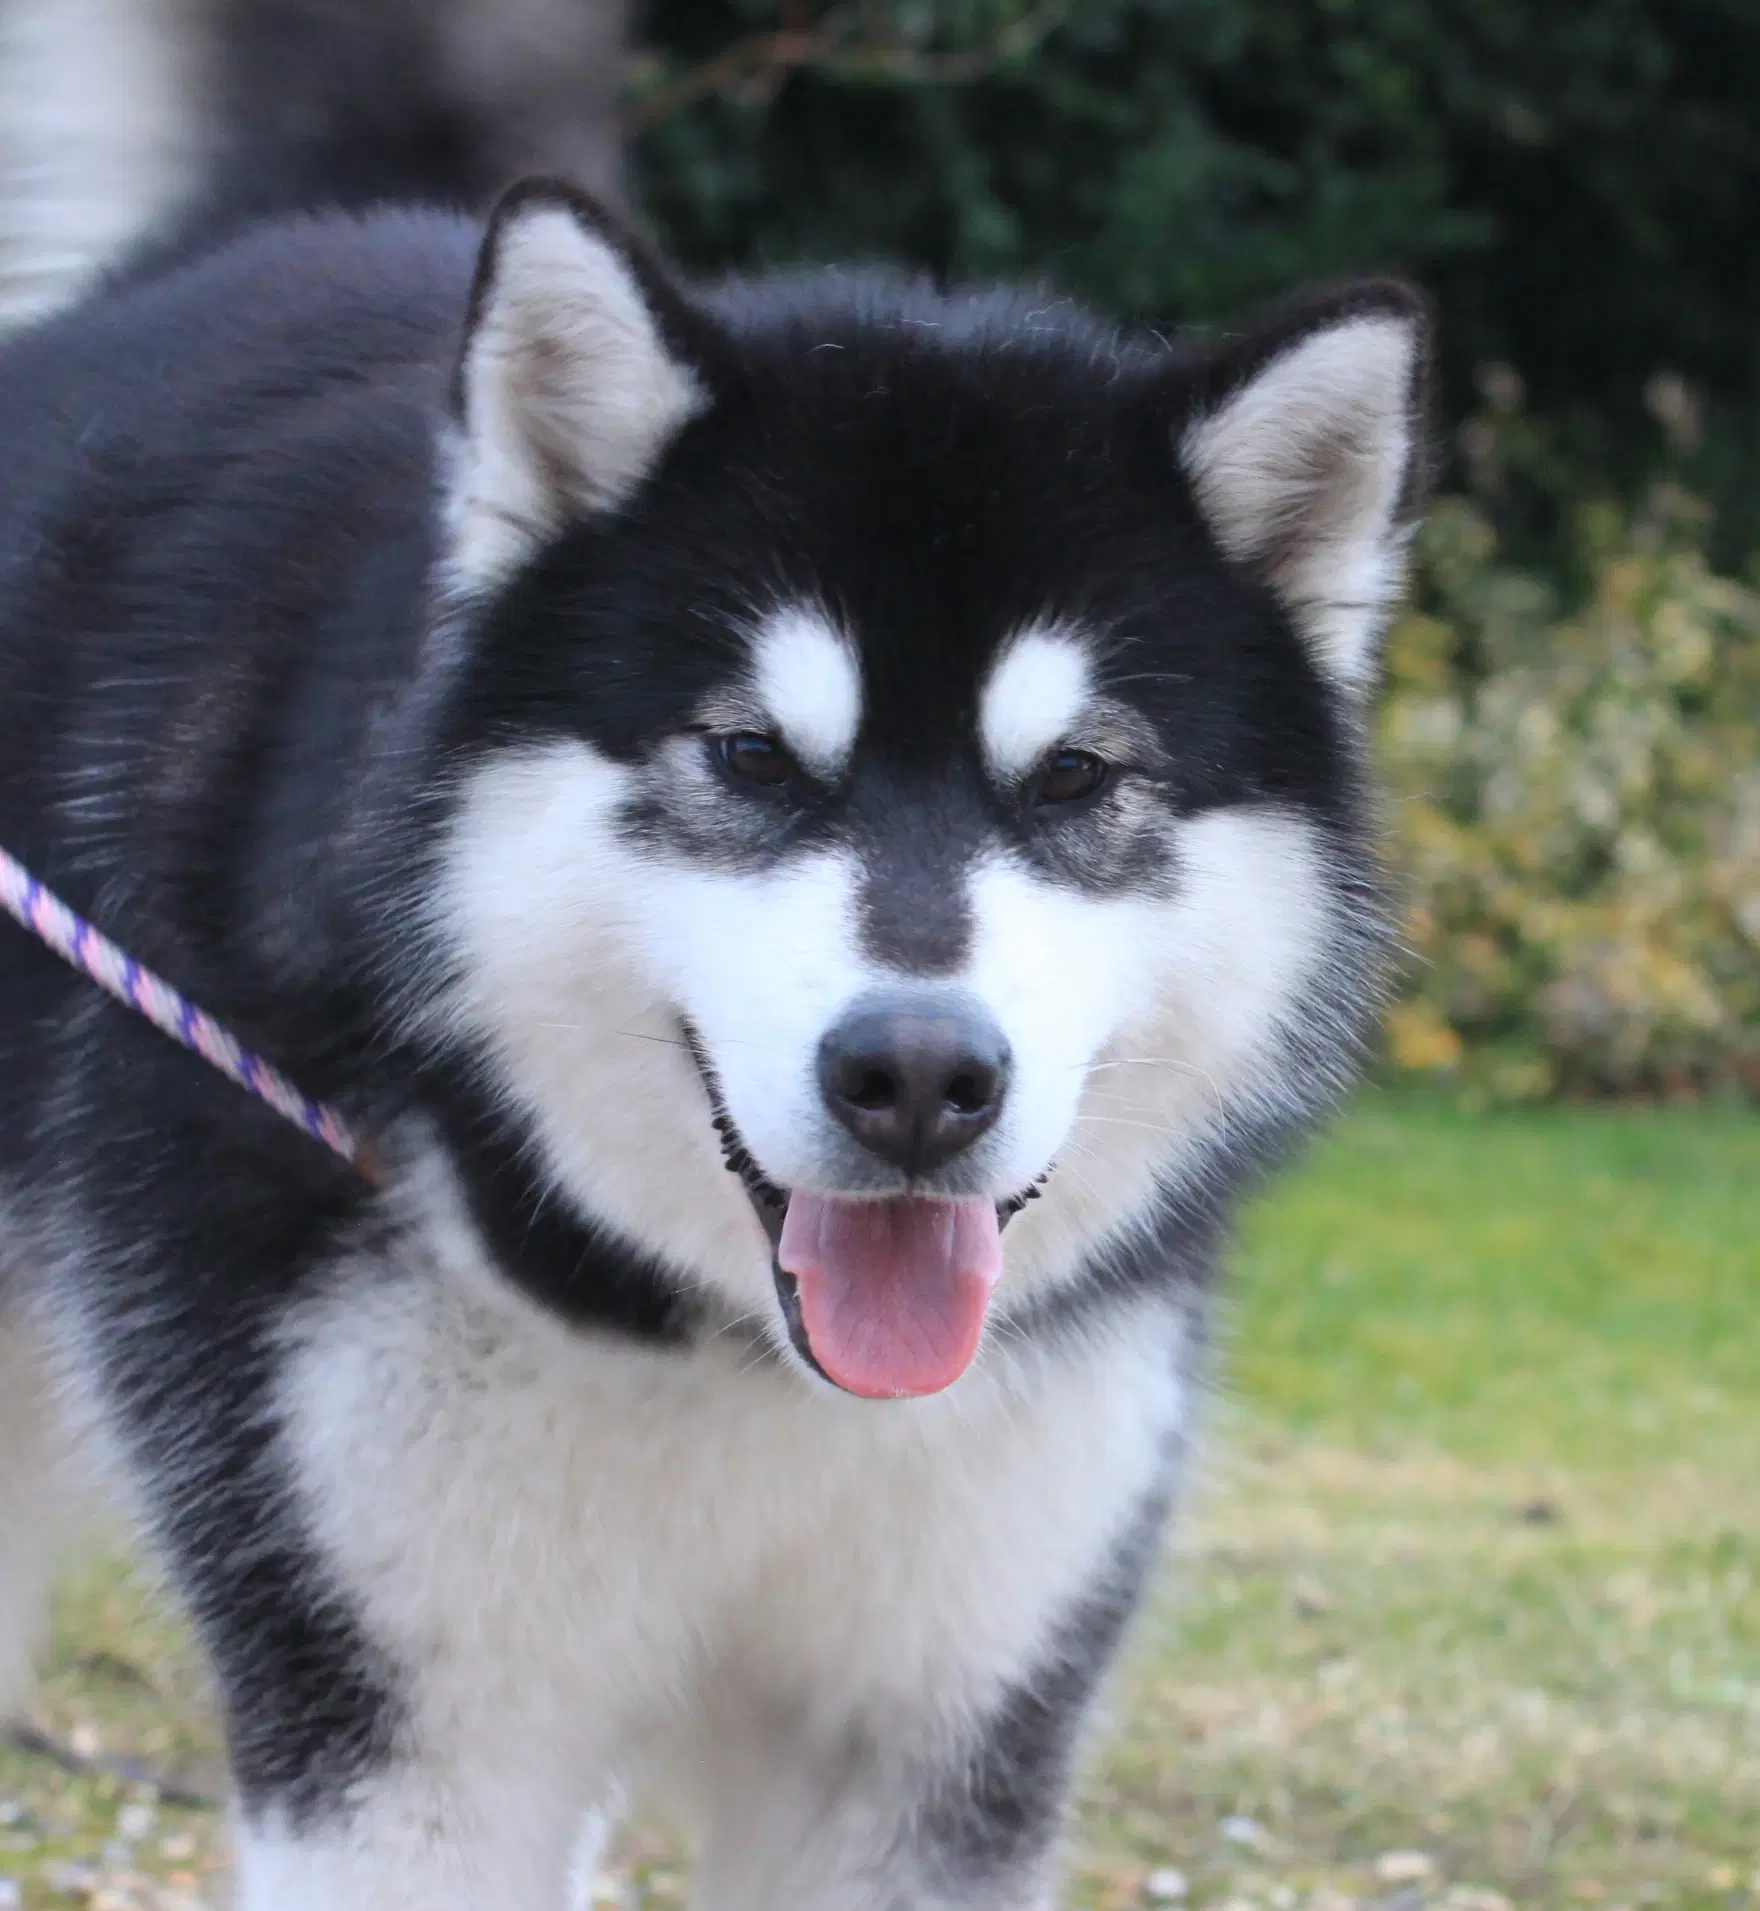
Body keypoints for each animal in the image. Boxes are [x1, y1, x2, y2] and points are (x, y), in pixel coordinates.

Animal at [0, 7, 1429, 1903]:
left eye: (1074, 778)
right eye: (750, 756)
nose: (920, 1076)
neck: (730, 1352)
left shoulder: (932, 1752)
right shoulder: (408, 1745)